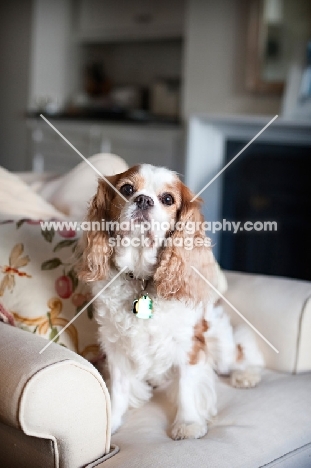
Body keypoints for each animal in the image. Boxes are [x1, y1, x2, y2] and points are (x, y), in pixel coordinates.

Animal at [77, 164, 264, 438]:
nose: (143, 200)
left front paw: (187, 423)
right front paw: (113, 422)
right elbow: (119, 389)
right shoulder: (116, 347)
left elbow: (186, 386)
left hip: (220, 343)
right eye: (127, 189)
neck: (141, 279)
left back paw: (246, 375)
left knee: (240, 353)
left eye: (167, 199)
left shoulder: (188, 344)